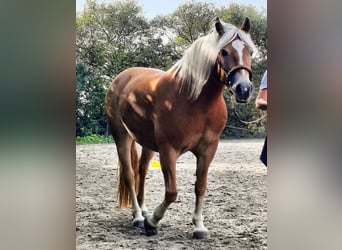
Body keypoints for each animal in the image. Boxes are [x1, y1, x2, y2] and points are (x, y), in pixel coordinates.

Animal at [105, 16, 256, 239]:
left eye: (250, 52)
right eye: (224, 51)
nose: (243, 89)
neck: (196, 101)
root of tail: (121, 78)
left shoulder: (208, 150)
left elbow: (200, 187)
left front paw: (199, 226)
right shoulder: (169, 151)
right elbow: (172, 192)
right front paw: (153, 222)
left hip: (147, 143)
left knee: (141, 170)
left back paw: (143, 209)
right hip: (122, 136)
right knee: (130, 175)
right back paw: (139, 217)